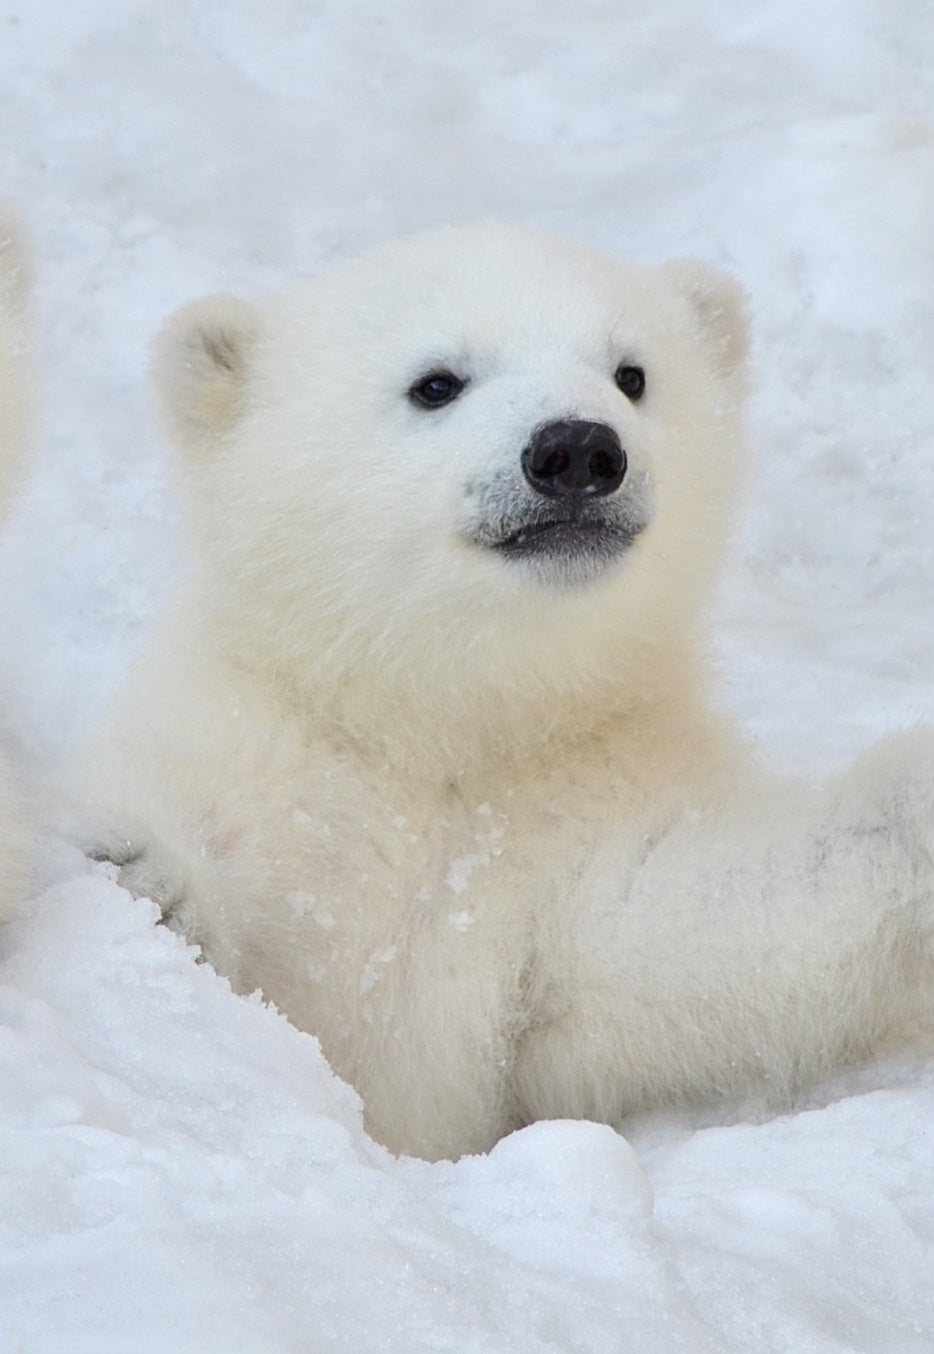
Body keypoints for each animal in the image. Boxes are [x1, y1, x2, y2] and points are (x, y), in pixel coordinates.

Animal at [78, 227, 931, 1159]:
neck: (447, 724)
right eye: (436, 382)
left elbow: (690, 930)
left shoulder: (585, 815)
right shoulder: (261, 762)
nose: (578, 451)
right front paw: (138, 871)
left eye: (632, 372)